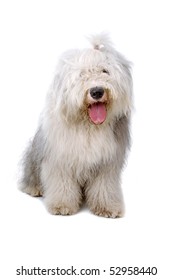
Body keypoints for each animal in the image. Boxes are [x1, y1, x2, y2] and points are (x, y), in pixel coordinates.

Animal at [20, 34, 134, 218]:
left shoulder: (107, 163)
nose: (97, 91)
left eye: (105, 71)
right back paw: (35, 188)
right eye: (82, 74)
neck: (89, 126)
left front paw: (107, 207)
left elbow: (104, 186)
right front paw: (62, 206)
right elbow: (62, 183)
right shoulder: (60, 158)